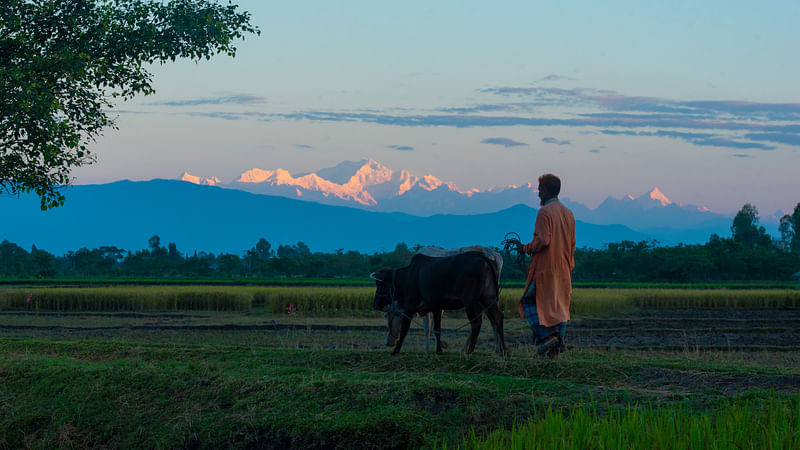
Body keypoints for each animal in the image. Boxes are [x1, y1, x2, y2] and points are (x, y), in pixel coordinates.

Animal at [370, 250, 506, 356]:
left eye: (379, 284)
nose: (375, 304)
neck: (405, 277)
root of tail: (483, 256)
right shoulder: (436, 308)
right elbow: (437, 329)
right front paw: (439, 350)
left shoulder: (409, 308)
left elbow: (404, 330)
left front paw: (395, 350)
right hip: (488, 297)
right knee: (497, 317)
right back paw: (504, 350)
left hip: (471, 301)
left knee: (477, 323)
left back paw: (469, 351)